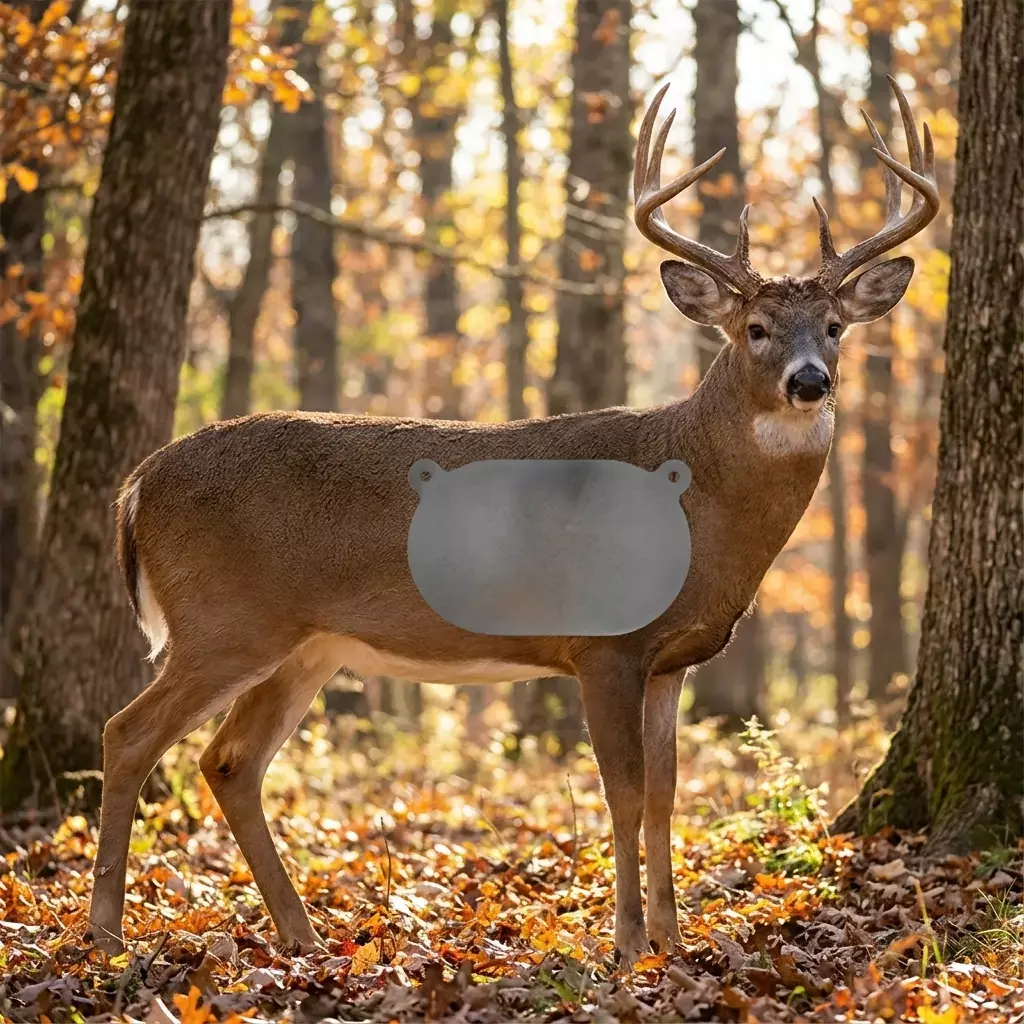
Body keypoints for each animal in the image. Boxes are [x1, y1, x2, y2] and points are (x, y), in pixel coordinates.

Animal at [86, 77, 937, 965]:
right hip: (224, 621)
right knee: (128, 733)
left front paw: (671, 941)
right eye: (756, 329)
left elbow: (668, 795)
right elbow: (624, 792)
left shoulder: (670, 661)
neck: (696, 501)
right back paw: (107, 932)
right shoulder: (603, 645)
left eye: (834, 327)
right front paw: (625, 943)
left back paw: (304, 936)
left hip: (305, 645)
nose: (810, 381)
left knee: (230, 762)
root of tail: (137, 484)